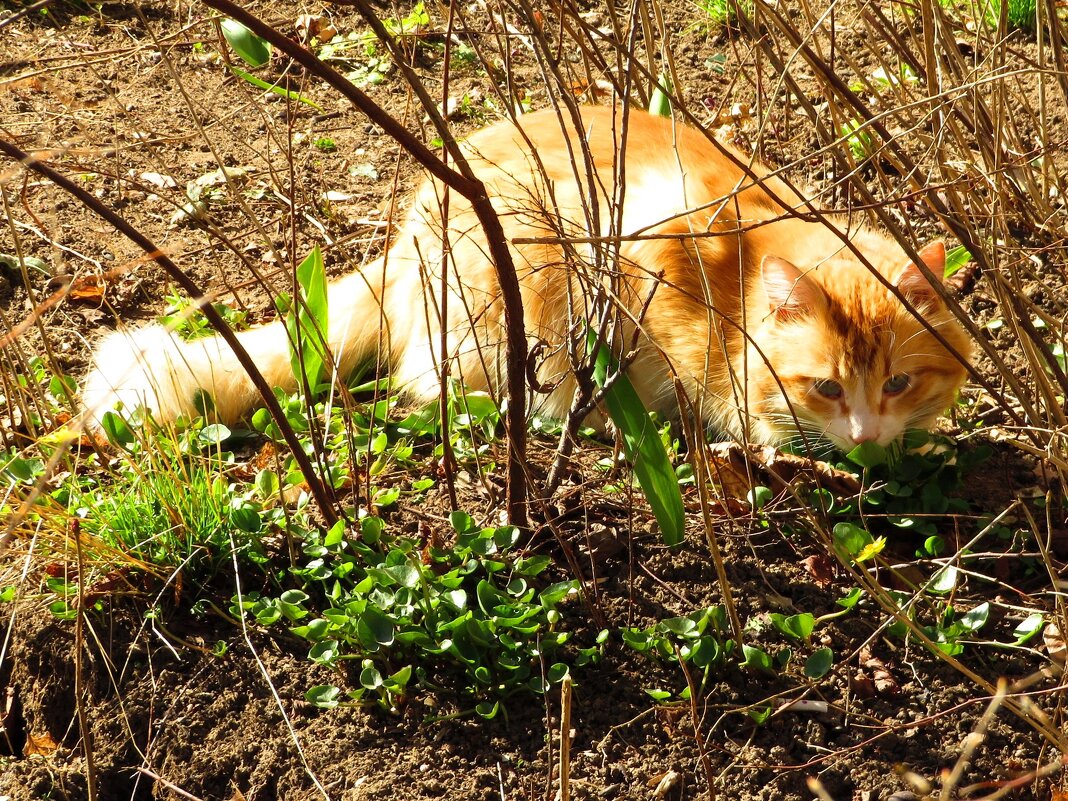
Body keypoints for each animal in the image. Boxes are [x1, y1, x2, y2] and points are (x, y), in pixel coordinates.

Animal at [81, 106, 969, 452]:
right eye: (826, 386)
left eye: (897, 383)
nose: (867, 436)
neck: (740, 274)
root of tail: (415, 221)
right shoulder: (648, 259)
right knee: (441, 385)